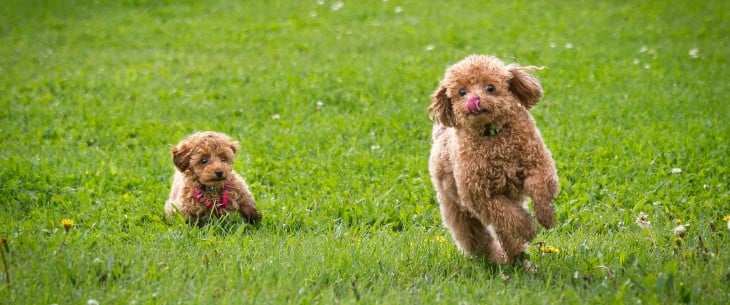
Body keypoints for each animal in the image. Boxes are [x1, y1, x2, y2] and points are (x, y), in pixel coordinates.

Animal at [426, 55, 556, 264]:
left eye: (490, 87)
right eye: (462, 92)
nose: (474, 100)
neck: (492, 136)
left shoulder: (538, 164)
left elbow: (540, 186)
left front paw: (545, 216)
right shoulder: (480, 197)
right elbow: (510, 216)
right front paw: (528, 227)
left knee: (507, 237)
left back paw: (519, 261)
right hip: (456, 210)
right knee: (479, 239)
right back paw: (498, 258)